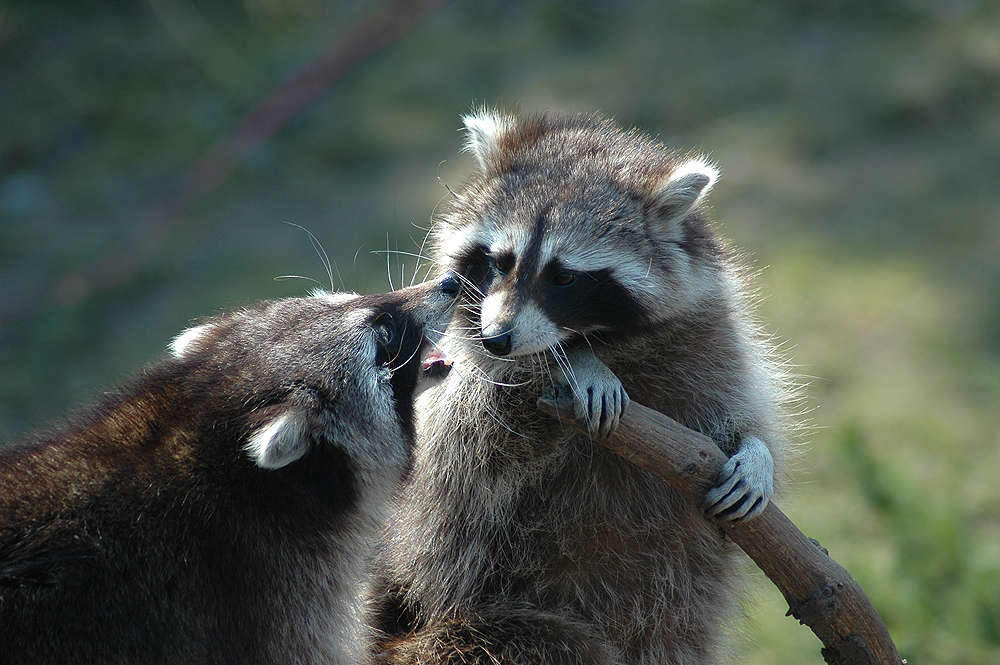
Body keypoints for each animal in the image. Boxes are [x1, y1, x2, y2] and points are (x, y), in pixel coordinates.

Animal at [370, 111, 796, 660]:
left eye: (565, 277)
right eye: (499, 261)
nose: (496, 339)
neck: (603, 335)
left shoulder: (707, 339)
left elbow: (741, 412)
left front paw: (755, 452)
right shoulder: (461, 376)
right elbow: (470, 442)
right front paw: (580, 364)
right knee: (532, 638)